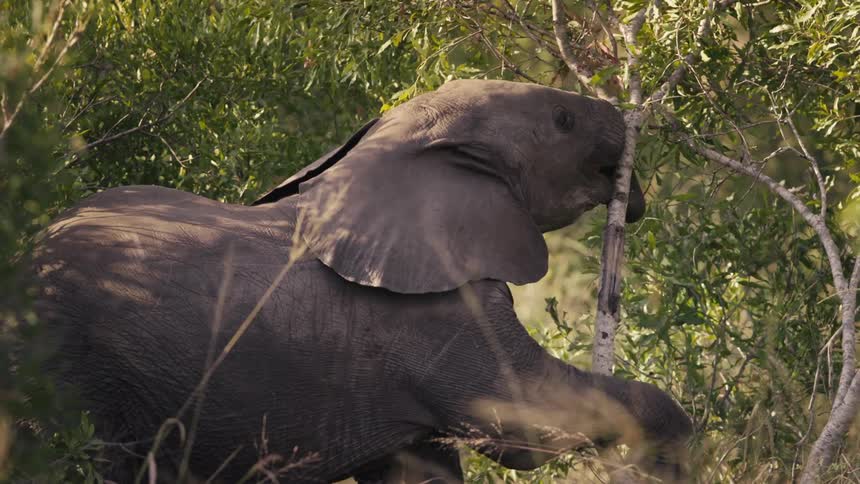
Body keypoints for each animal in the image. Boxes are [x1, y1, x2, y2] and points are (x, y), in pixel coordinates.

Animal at [31, 79, 691, 483]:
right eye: (563, 120)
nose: (632, 197)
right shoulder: (436, 317)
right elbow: (523, 422)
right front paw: (679, 456)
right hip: (82, 375)